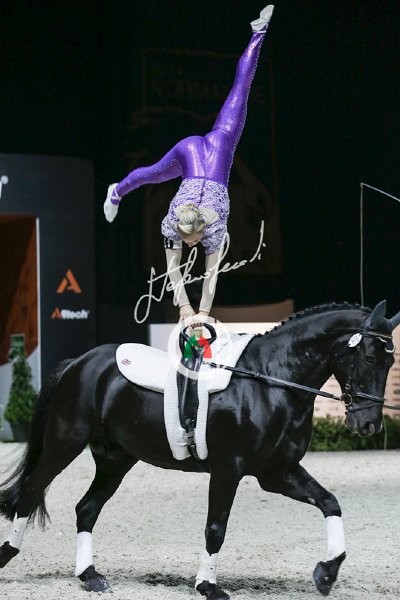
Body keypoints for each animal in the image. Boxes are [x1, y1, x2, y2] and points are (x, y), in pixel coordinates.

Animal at [0, 300, 398, 599]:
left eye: (390, 361)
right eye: (368, 357)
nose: (368, 425)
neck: (272, 381)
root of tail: (79, 363)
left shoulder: (277, 472)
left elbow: (330, 502)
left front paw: (326, 574)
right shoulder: (228, 469)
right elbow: (215, 528)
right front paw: (208, 586)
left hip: (116, 459)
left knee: (86, 508)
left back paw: (91, 576)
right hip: (64, 443)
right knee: (32, 490)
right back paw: (8, 555)